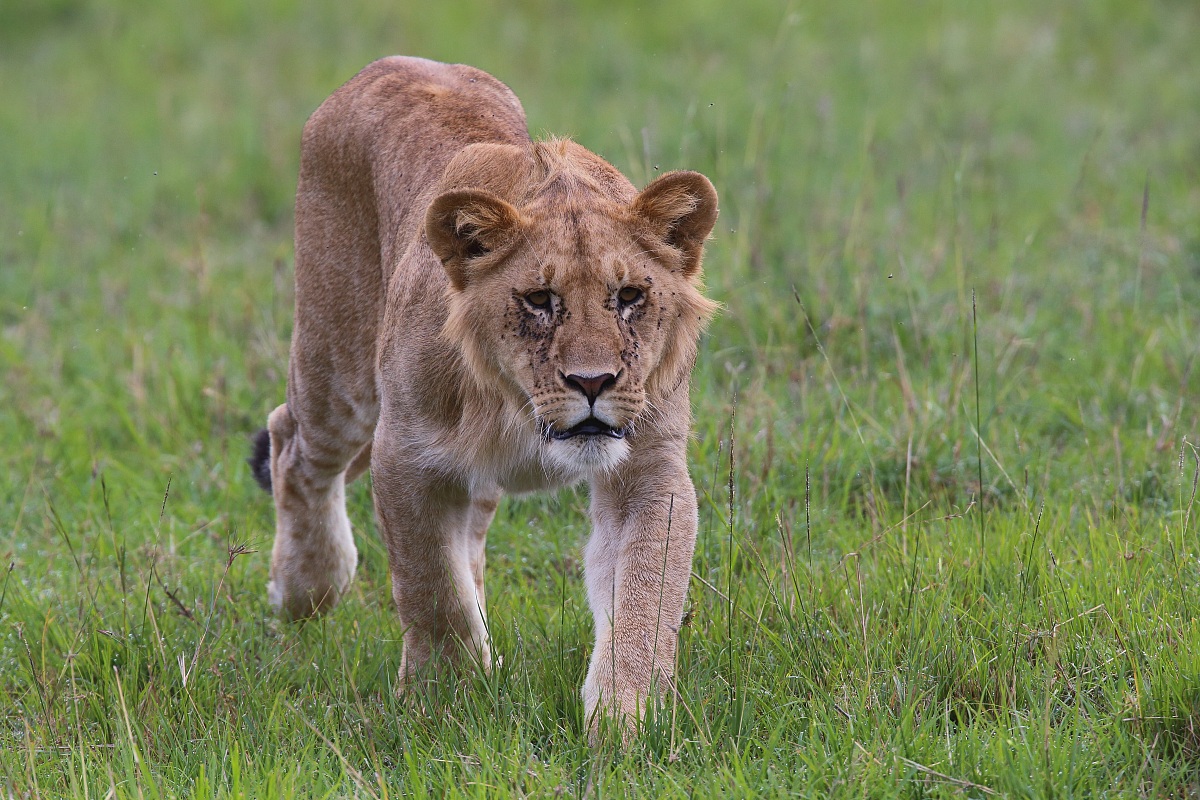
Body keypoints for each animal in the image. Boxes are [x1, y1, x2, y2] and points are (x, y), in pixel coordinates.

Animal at [249, 56, 718, 740]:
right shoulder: (406, 454)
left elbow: (644, 598)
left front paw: (628, 721)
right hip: (339, 369)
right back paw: (305, 590)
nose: (593, 382)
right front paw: (447, 700)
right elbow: (431, 589)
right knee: (292, 442)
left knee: (468, 529)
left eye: (629, 296)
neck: (518, 407)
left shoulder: (648, 467)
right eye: (539, 300)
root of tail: (388, 63)